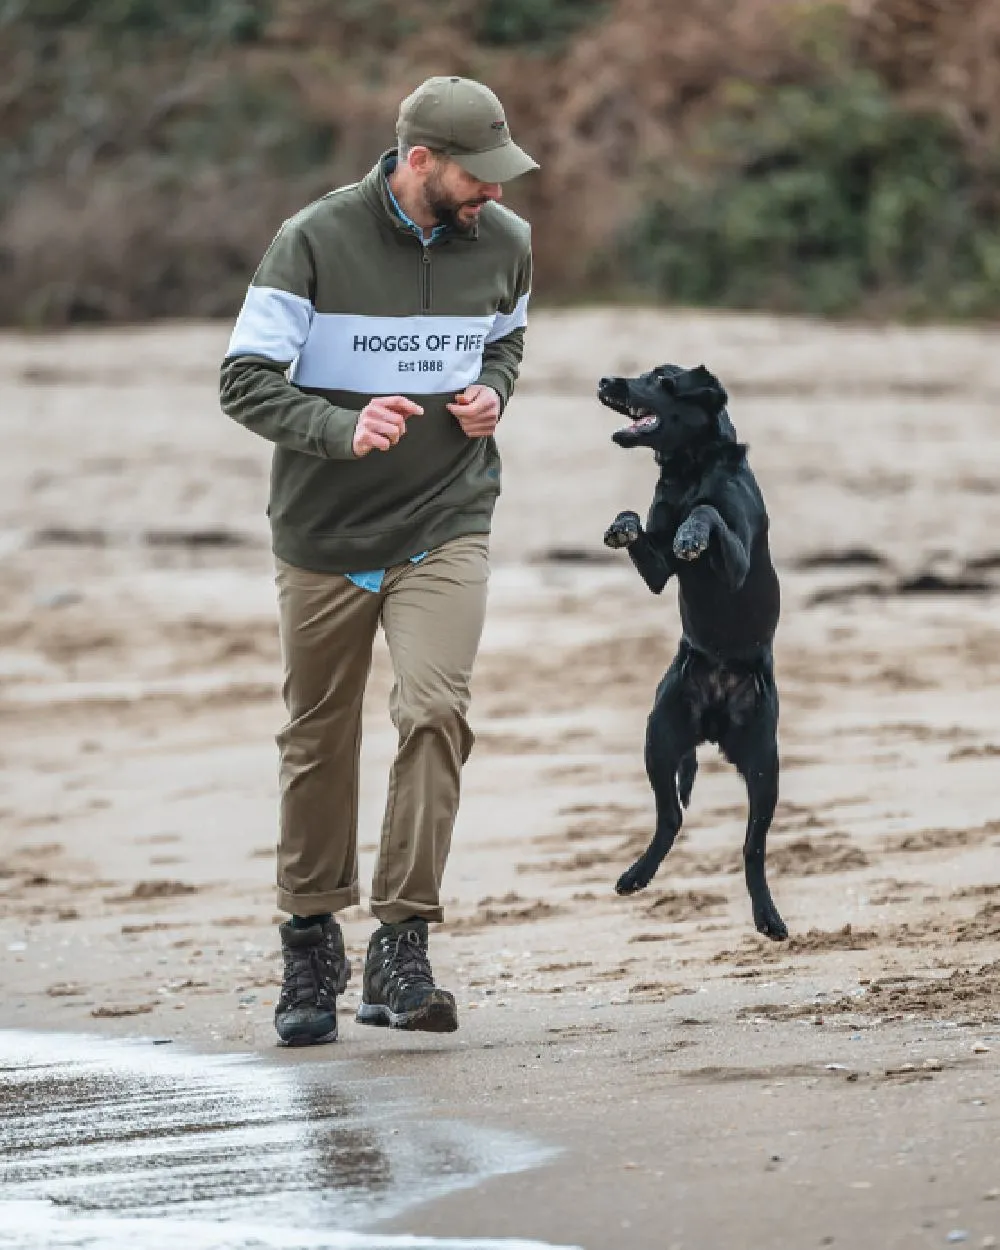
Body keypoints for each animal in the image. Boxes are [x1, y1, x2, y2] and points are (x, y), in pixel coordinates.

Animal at [597, 362, 785, 940]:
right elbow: (639, 522)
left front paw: (692, 533)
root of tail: (715, 721)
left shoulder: (737, 558)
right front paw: (622, 525)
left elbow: (706, 513)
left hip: (764, 767)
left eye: (661, 378)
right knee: (672, 817)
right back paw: (635, 876)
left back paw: (769, 917)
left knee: (752, 847)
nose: (605, 381)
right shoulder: (659, 572)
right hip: (660, 737)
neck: (689, 469)